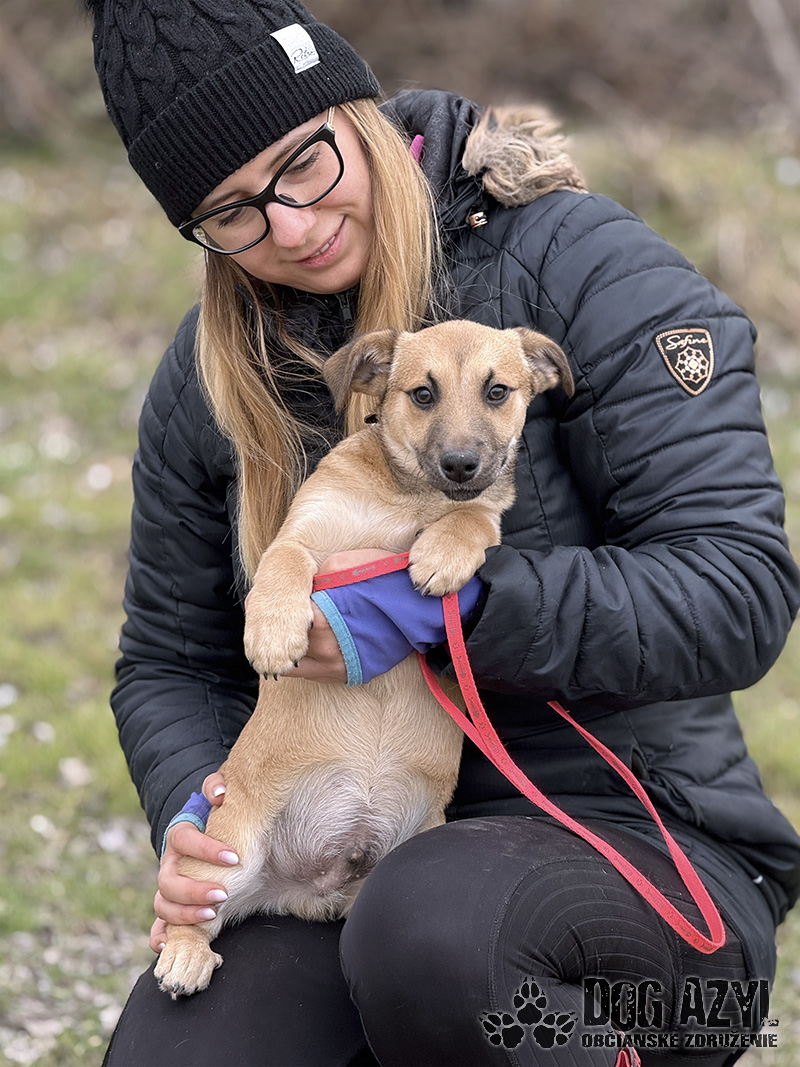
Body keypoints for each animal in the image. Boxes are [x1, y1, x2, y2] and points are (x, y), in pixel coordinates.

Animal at [153, 319, 573, 997]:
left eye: (498, 392)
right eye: (423, 394)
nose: (461, 464)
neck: (412, 499)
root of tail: (313, 886)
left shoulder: (485, 517)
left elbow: (472, 522)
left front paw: (441, 555)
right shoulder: (304, 534)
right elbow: (284, 562)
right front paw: (271, 631)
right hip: (228, 856)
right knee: (195, 915)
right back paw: (185, 957)